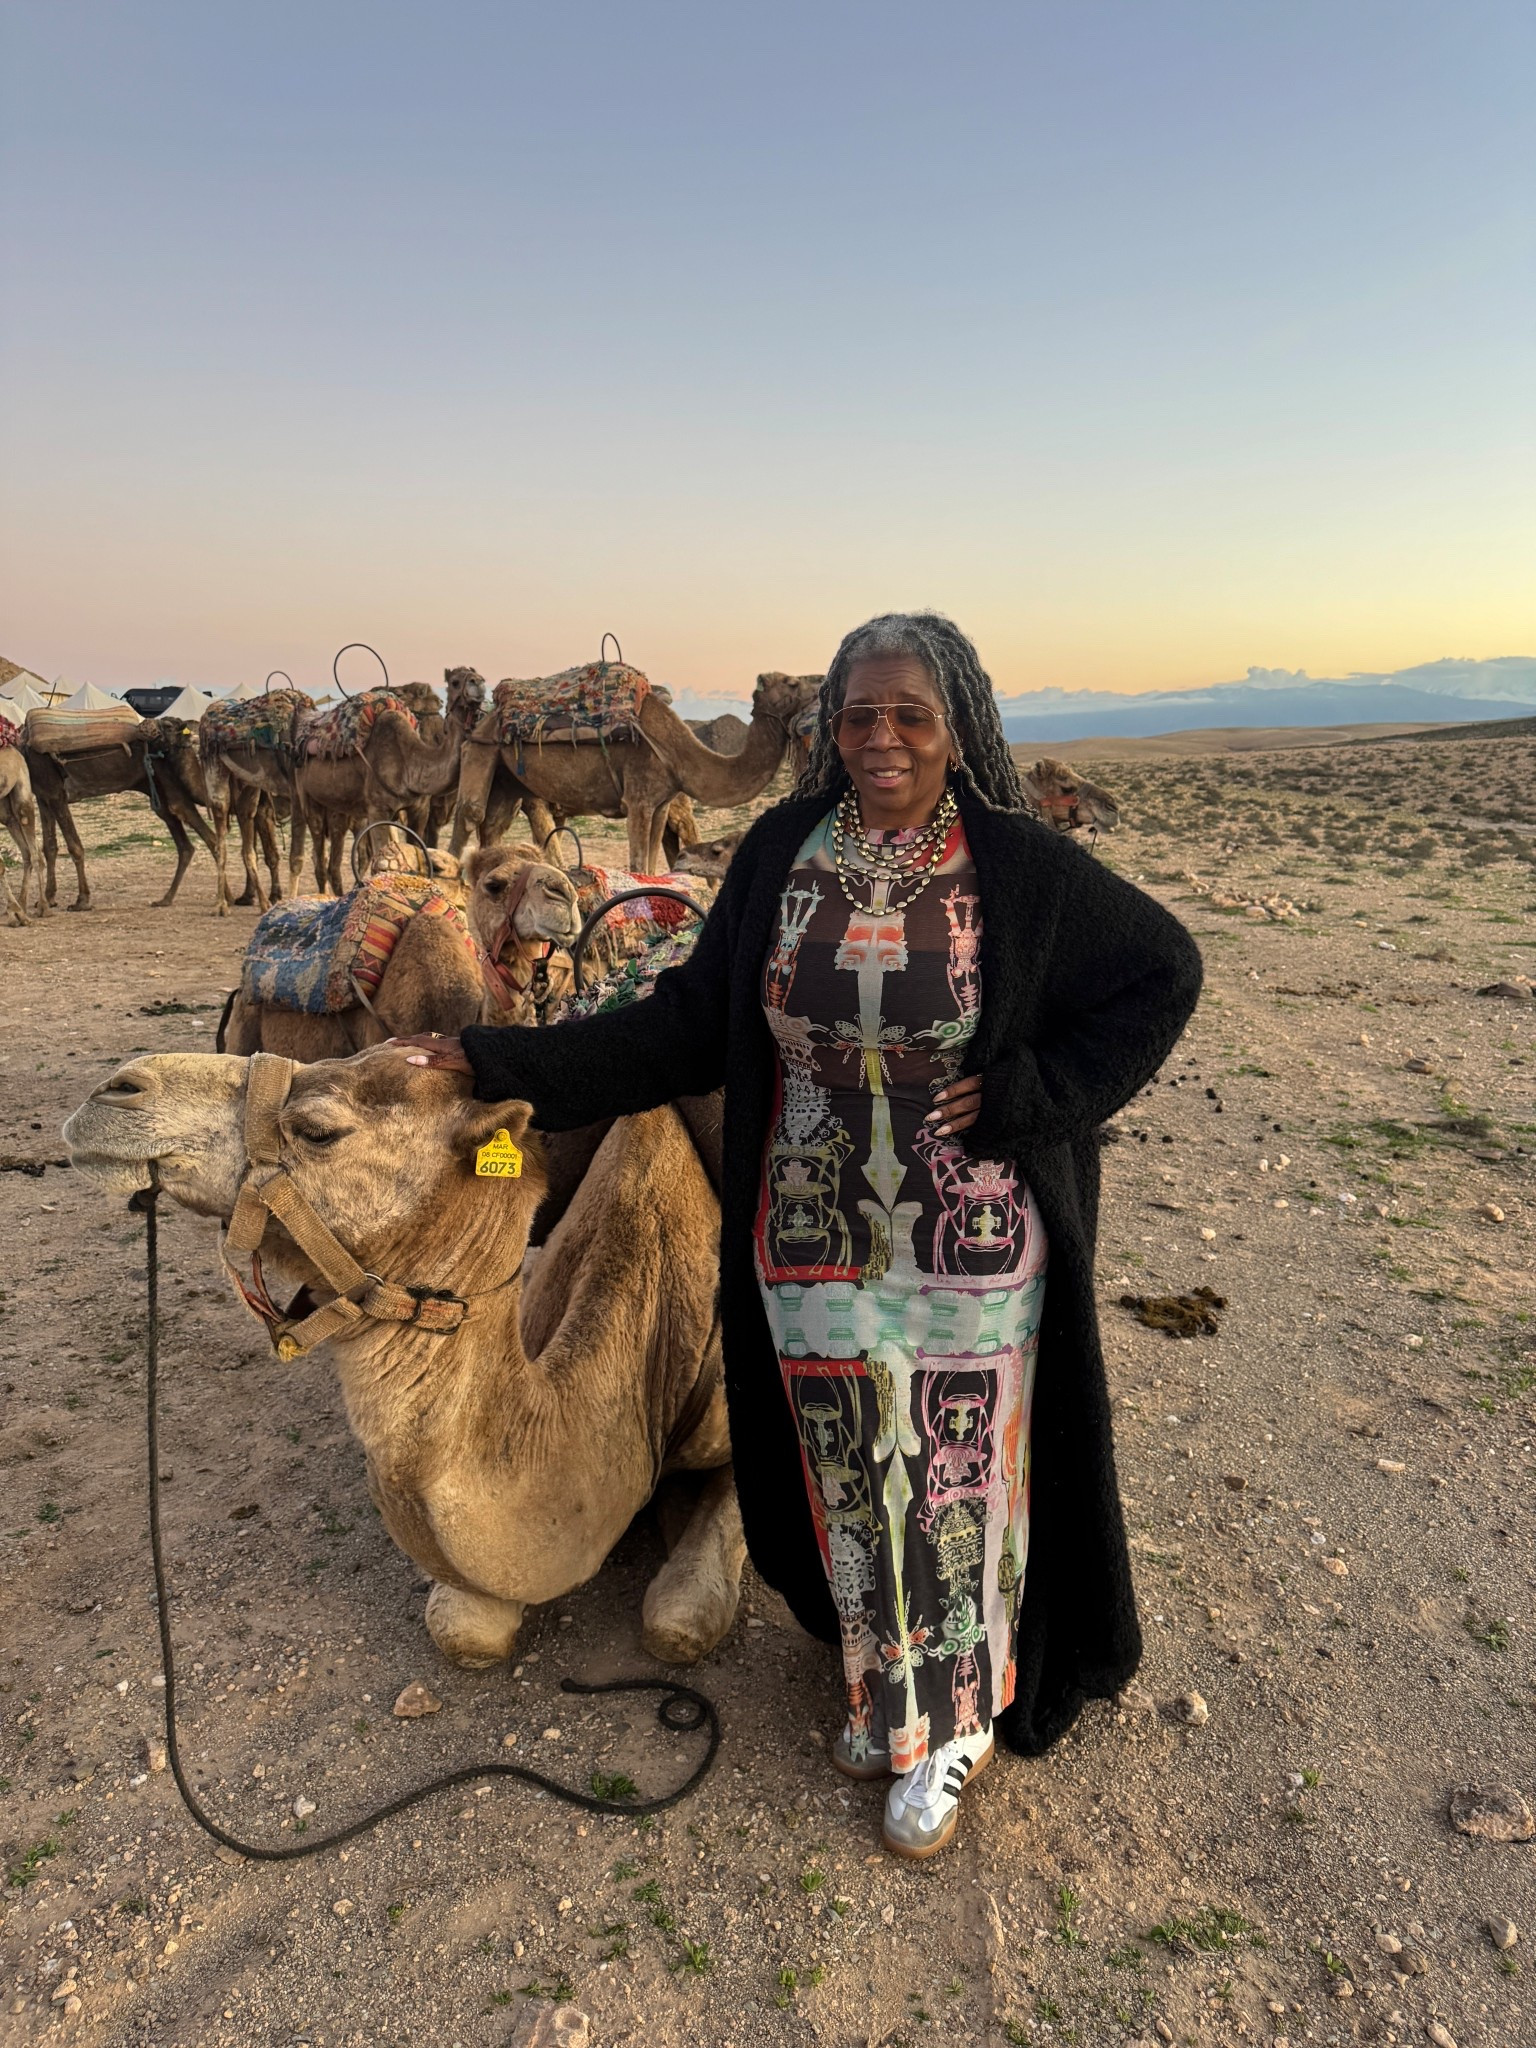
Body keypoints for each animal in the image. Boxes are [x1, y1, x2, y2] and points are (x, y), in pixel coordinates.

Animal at [453, 668, 819, 874]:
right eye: (791, 683)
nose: (819, 682)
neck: (680, 755)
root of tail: (490, 713)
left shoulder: (660, 805)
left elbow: (652, 865)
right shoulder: (639, 800)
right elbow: (637, 865)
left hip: (507, 777)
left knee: (494, 825)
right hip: (482, 748)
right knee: (470, 814)